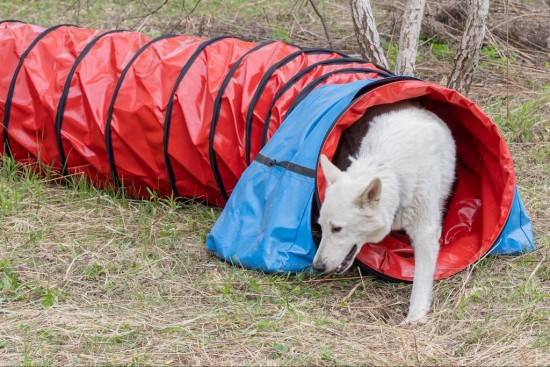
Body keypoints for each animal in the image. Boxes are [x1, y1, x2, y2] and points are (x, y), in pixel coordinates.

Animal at [314, 103, 458, 324]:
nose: (317, 267)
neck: (394, 175)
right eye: (321, 227)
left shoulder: (425, 232)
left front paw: (415, 317)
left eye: (337, 229)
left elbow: (421, 279)